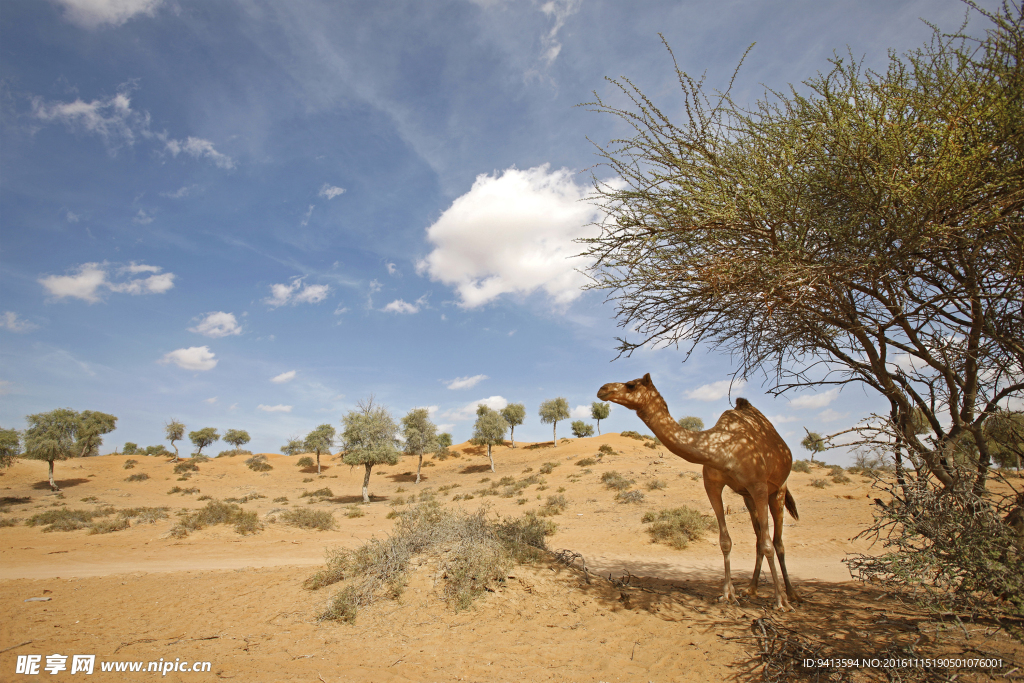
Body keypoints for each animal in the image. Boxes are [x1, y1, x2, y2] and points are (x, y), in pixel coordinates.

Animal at [598, 374, 802, 614]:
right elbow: (726, 541)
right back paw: (751, 589)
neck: (724, 449)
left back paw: (791, 594)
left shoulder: (759, 485)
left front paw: (780, 601)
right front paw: (728, 595)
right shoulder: (713, 485)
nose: (603, 389)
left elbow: (769, 545)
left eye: (631, 385)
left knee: (777, 541)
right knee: (758, 537)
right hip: (747, 497)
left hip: (778, 489)